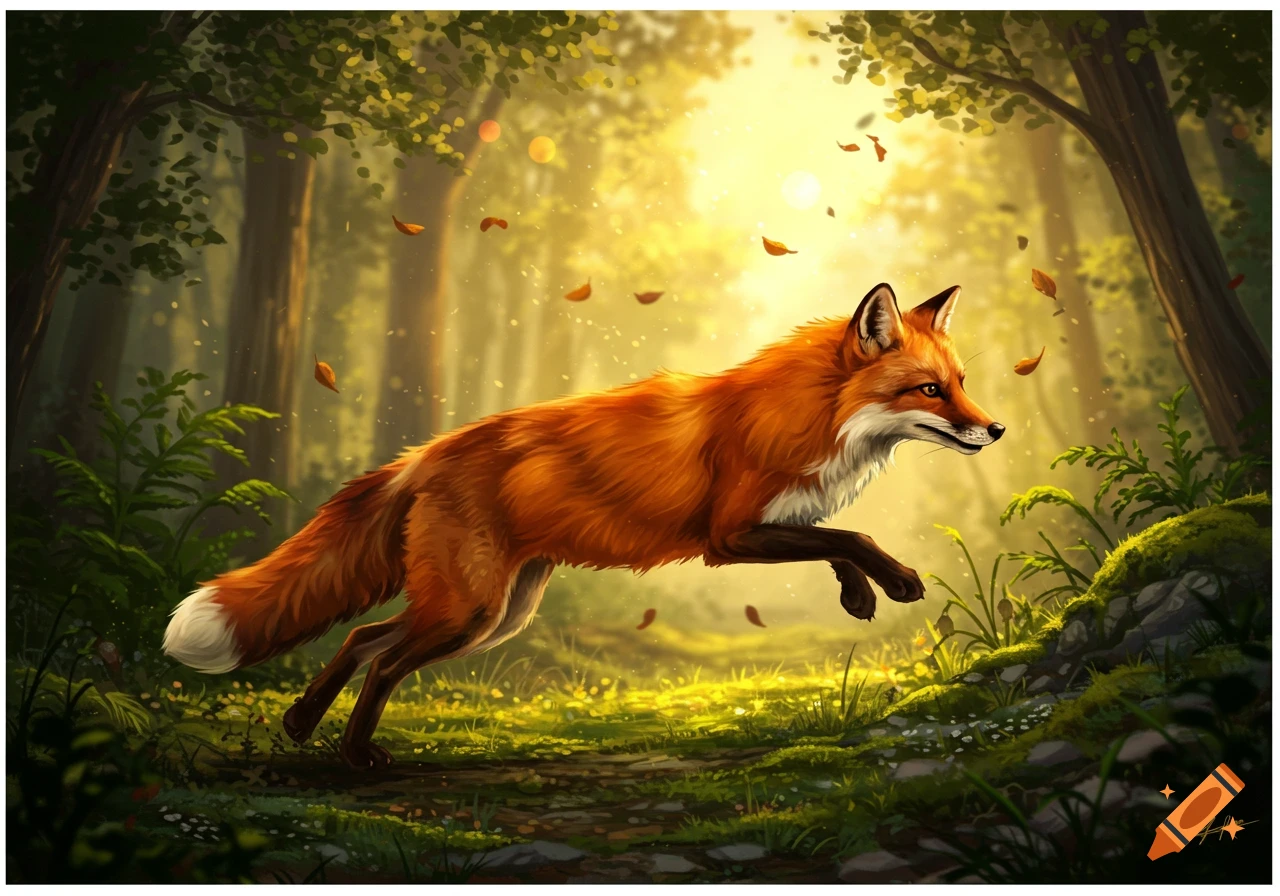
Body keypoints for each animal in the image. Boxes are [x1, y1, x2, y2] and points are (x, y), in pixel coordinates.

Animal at [163, 282, 1003, 768]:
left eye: (963, 383)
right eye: (930, 390)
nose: (994, 430)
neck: (809, 415)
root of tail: (425, 452)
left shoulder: (771, 523)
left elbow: (833, 543)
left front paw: (859, 597)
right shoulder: (729, 534)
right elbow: (847, 537)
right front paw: (894, 583)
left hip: (493, 613)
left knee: (362, 637)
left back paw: (305, 725)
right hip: (472, 609)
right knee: (381, 659)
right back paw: (351, 755)